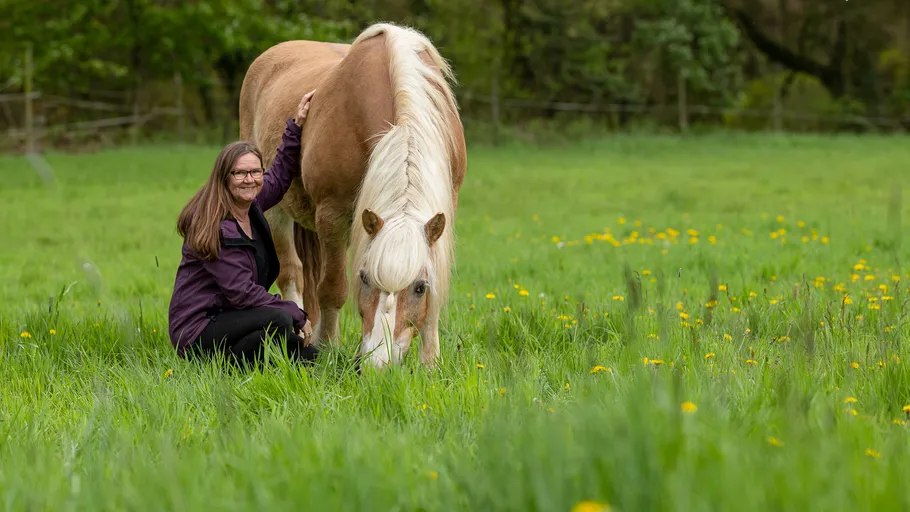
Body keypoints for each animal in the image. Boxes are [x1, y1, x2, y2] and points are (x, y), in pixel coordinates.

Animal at [238, 23, 467, 369]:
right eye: (365, 278)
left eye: (419, 287)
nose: (378, 365)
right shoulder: (332, 215)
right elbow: (332, 288)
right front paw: (328, 351)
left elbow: (436, 289)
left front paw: (430, 364)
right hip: (274, 209)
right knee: (294, 274)